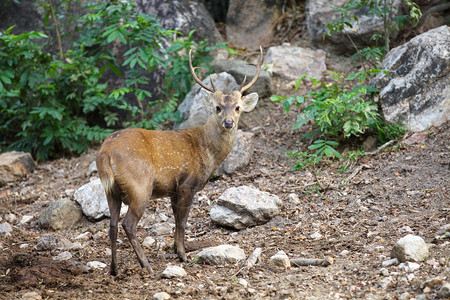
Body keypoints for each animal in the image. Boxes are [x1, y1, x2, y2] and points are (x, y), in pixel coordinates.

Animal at [96, 46, 262, 274]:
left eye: (237, 107)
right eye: (217, 108)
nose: (228, 122)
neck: (206, 149)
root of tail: (105, 152)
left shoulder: (173, 189)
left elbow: (175, 220)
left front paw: (176, 249)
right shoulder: (187, 184)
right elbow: (182, 221)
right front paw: (183, 255)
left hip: (111, 190)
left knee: (112, 225)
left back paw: (114, 269)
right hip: (140, 185)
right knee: (128, 224)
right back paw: (146, 265)